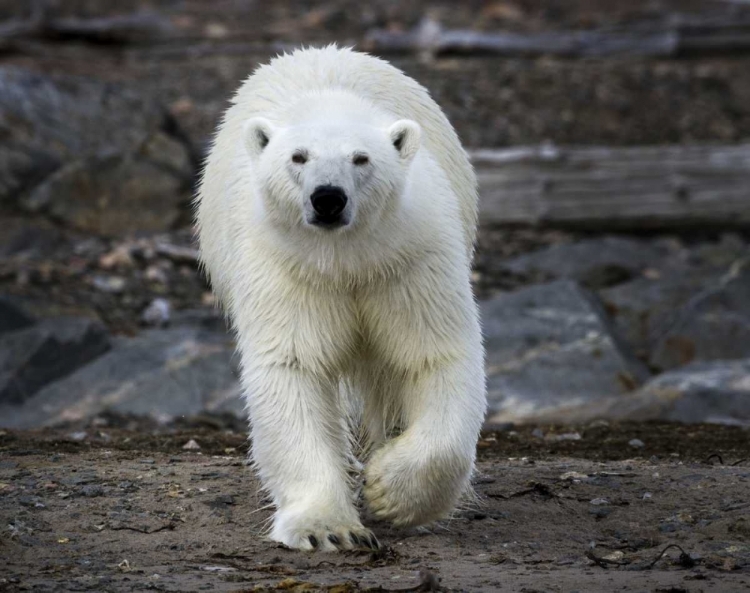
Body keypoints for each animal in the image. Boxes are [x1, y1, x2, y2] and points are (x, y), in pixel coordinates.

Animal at [195, 46, 488, 552]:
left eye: (361, 158)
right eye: (298, 156)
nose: (327, 198)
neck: (345, 260)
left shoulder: (408, 259)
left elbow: (433, 355)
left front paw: (389, 489)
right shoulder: (287, 266)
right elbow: (294, 365)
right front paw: (327, 528)